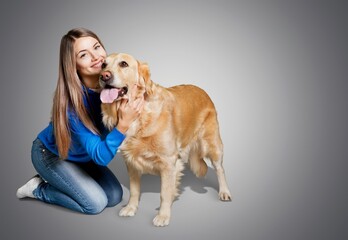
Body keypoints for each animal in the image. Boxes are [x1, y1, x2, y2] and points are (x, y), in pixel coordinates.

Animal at [99, 53, 232, 227]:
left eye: (123, 64)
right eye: (103, 64)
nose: (104, 76)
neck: (140, 116)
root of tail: (202, 90)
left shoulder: (169, 162)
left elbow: (164, 193)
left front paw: (163, 216)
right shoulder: (131, 161)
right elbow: (134, 190)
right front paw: (130, 208)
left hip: (212, 144)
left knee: (219, 169)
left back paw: (224, 192)